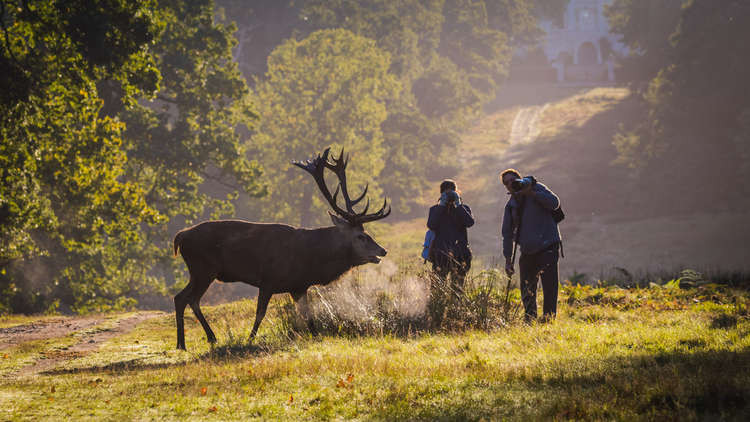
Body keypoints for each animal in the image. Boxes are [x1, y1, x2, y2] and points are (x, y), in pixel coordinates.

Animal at [173, 148, 390, 350]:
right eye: (360, 236)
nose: (382, 251)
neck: (311, 259)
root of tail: (180, 236)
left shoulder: (299, 286)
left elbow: (308, 316)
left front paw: (316, 336)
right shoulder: (267, 279)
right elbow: (260, 313)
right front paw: (249, 339)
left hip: (199, 271)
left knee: (181, 298)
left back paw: (185, 342)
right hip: (203, 268)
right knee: (190, 298)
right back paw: (203, 339)